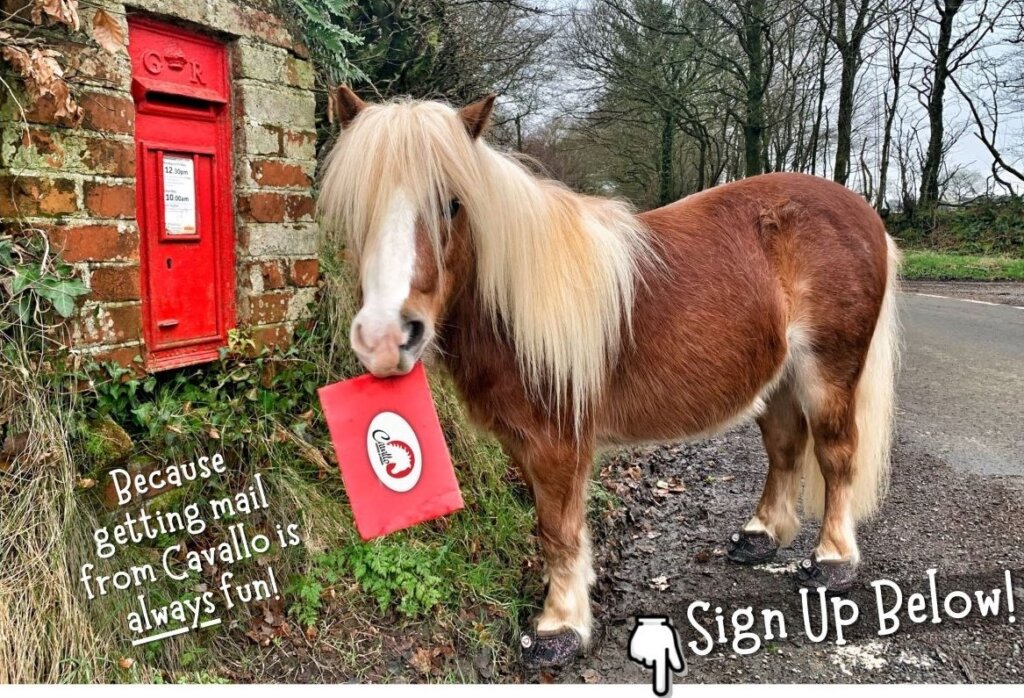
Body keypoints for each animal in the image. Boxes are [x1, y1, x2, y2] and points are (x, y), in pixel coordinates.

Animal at [318, 87, 900, 667]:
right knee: (784, 445)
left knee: (835, 454)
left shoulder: (557, 443)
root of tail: (866, 215)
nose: (384, 338)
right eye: (357, 209)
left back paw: (833, 562)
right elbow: (554, 527)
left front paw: (559, 627)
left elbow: (557, 529)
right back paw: (762, 535)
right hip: (779, 377)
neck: (518, 305)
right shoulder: (521, 443)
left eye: (452, 204)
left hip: (828, 373)